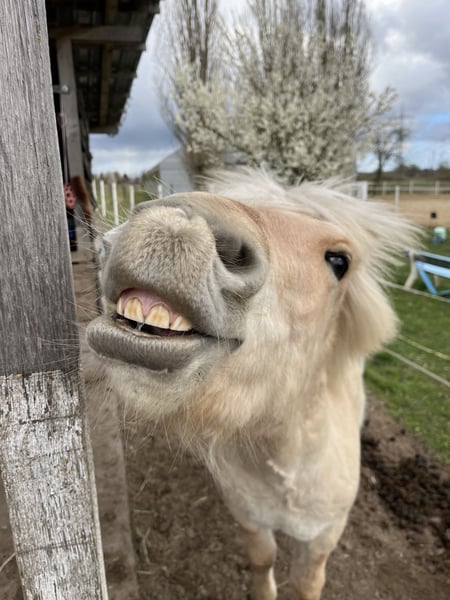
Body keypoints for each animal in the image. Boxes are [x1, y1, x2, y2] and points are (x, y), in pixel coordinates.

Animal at [87, 170, 418, 600]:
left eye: (339, 261)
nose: (173, 224)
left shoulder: (324, 537)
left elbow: (309, 583)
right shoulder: (249, 516)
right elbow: (262, 560)